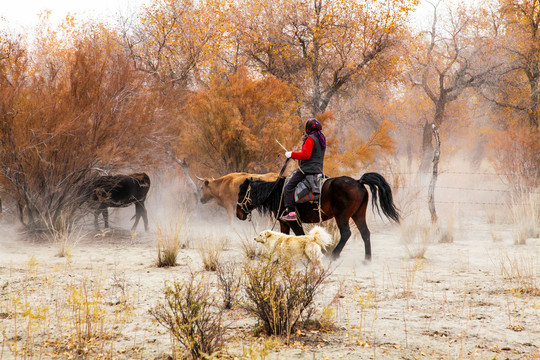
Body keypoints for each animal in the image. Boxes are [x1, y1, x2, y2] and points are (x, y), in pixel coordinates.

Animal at [237, 173, 400, 260]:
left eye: (241, 193)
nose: (238, 214)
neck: (278, 193)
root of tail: (358, 181)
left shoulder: (294, 222)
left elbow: (300, 236)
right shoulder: (284, 223)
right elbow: (283, 238)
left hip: (342, 216)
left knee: (346, 233)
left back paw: (333, 256)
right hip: (358, 215)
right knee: (365, 233)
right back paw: (367, 259)